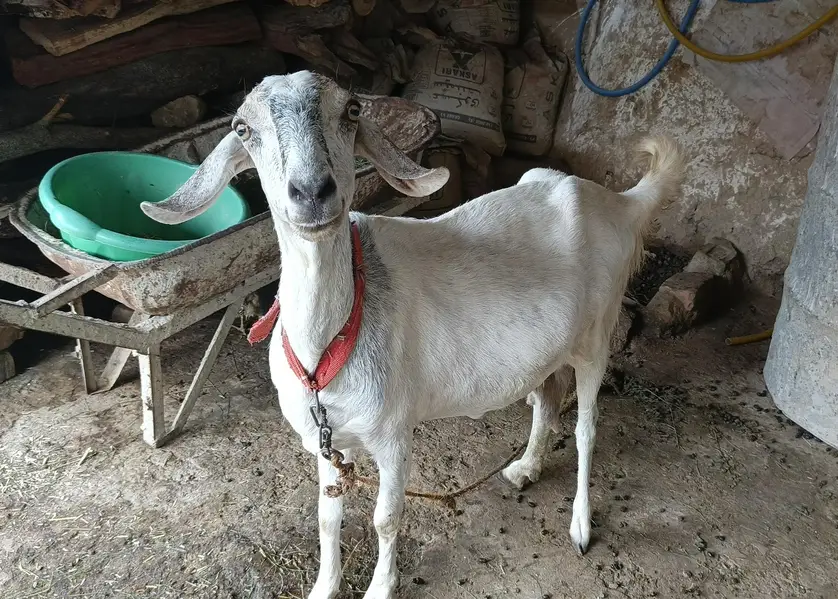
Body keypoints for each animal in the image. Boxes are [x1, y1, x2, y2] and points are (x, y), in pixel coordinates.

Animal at [141, 71, 685, 599]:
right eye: (242, 128)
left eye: (352, 110)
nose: (312, 192)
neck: (329, 347)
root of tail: (618, 202)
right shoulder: (325, 440)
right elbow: (327, 517)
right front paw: (324, 586)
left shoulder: (393, 433)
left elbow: (385, 518)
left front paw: (381, 587)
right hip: (549, 350)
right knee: (547, 400)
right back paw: (525, 468)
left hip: (597, 336)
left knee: (586, 428)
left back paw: (580, 526)